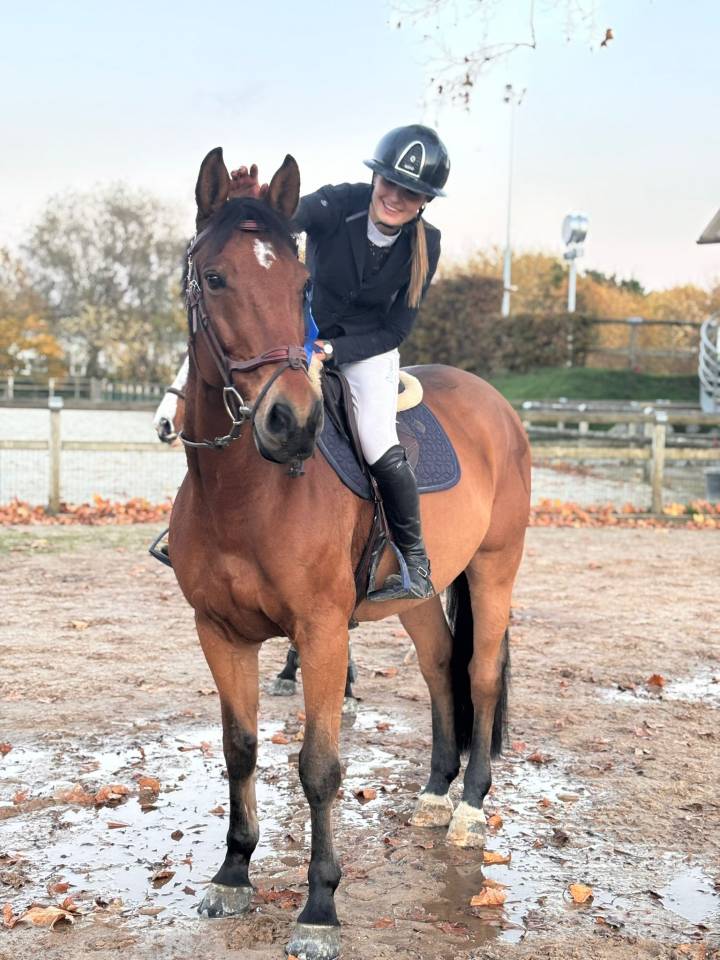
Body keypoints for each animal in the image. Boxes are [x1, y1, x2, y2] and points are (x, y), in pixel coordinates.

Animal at [169, 146, 531, 960]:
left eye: (301, 285)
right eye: (216, 278)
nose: (291, 423)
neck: (245, 492)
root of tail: (495, 404)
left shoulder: (323, 633)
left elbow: (320, 767)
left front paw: (319, 908)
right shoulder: (219, 633)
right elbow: (240, 748)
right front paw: (233, 873)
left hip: (495, 569)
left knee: (479, 675)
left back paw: (469, 808)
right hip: (420, 595)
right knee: (439, 669)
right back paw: (434, 794)